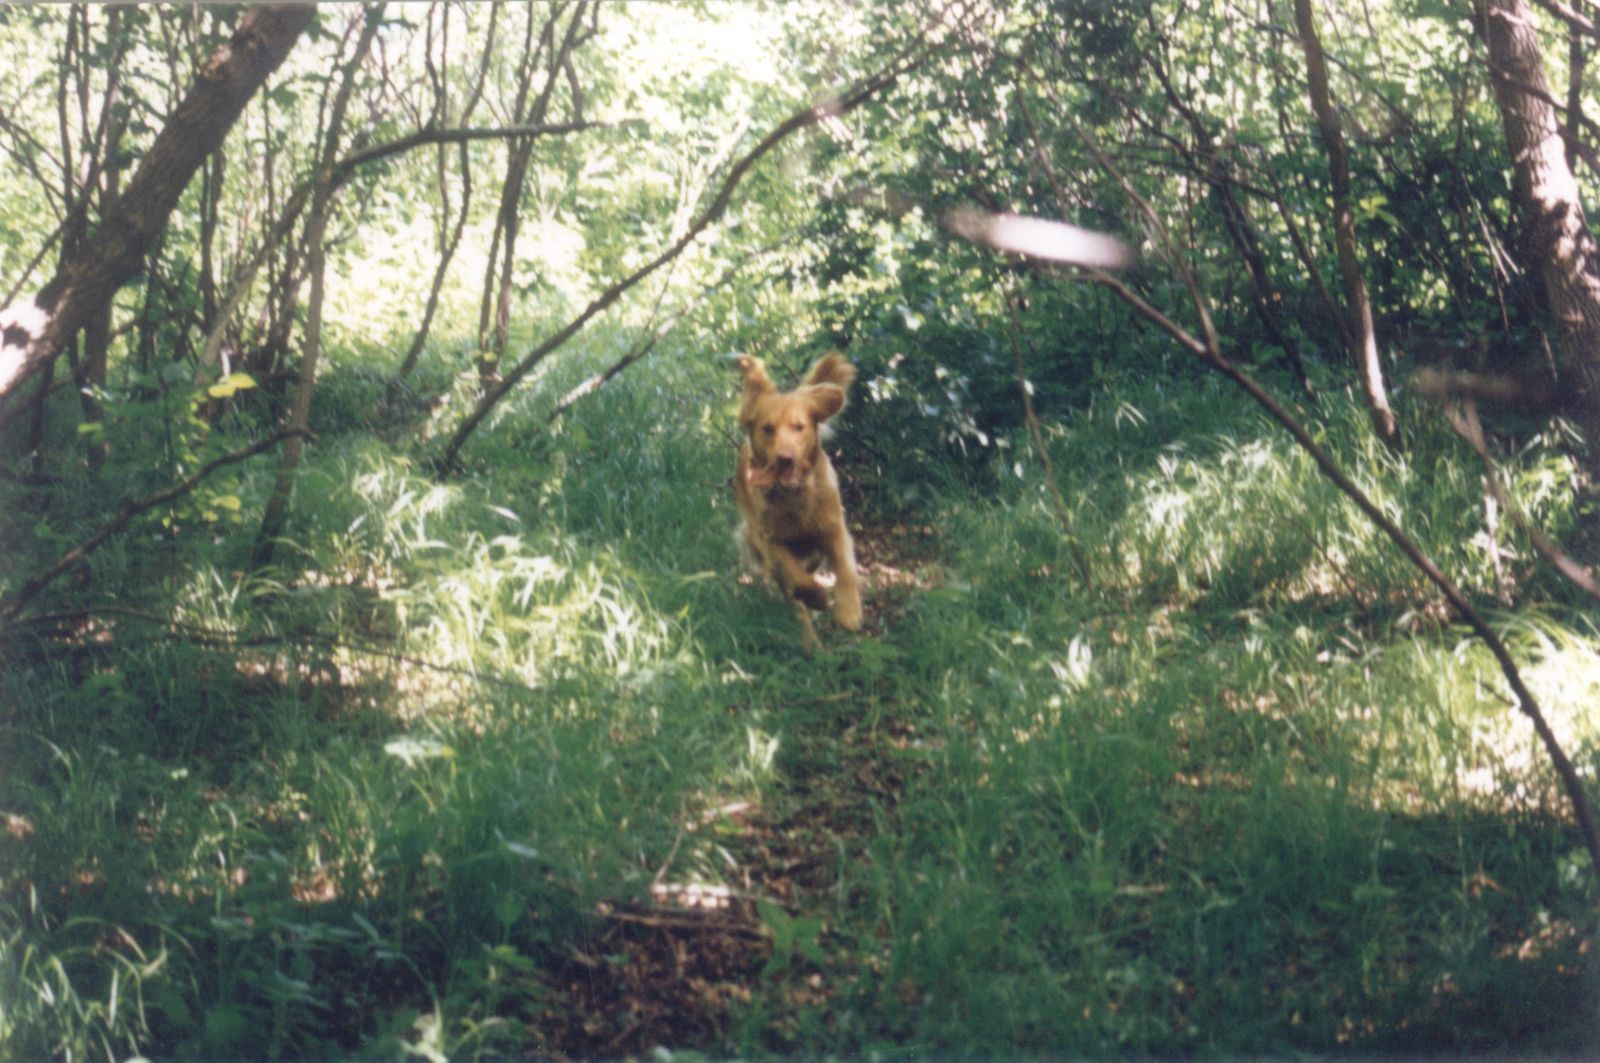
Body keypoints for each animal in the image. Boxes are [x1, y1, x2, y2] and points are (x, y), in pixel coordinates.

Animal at [733, 352, 863, 649]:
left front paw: (849, 613)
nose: (785, 458)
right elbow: (798, 580)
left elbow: (846, 571)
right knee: (792, 597)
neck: (795, 497)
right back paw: (810, 642)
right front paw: (816, 598)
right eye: (767, 429)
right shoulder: (769, 542)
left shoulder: (834, 529)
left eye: (799, 427)